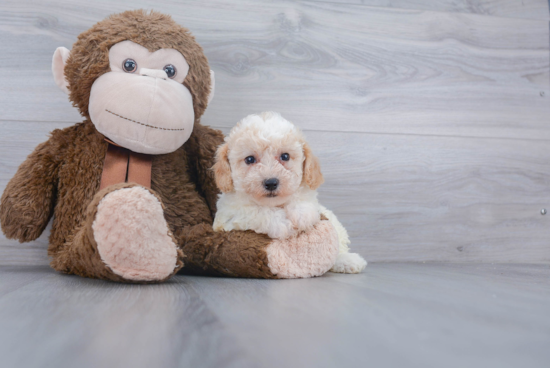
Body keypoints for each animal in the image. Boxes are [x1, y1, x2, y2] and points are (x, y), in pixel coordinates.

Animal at [213, 112, 368, 274]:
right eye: (249, 159)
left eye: (285, 156)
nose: (271, 182)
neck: (275, 204)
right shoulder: (227, 216)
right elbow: (256, 211)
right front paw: (281, 222)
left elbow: (303, 200)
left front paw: (301, 215)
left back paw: (349, 260)